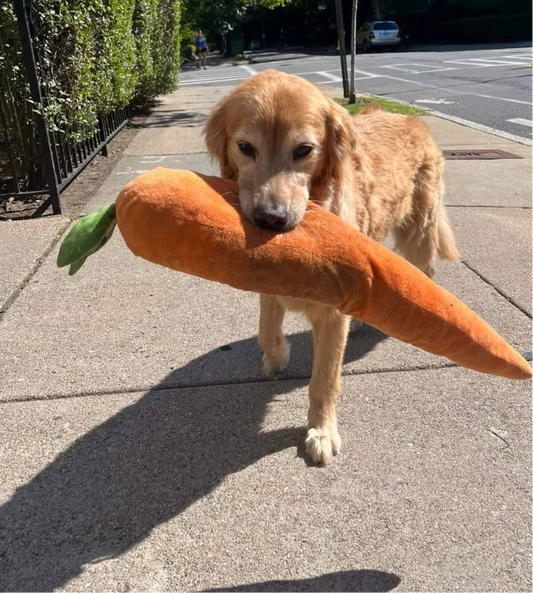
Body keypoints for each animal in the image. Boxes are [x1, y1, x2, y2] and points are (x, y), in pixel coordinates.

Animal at [204, 69, 458, 464]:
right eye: (245, 147)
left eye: (303, 150)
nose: (271, 219)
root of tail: (409, 118)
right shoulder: (268, 284)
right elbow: (266, 329)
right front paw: (276, 358)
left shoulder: (331, 316)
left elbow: (323, 380)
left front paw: (321, 432)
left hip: (417, 231)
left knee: (425, 274)